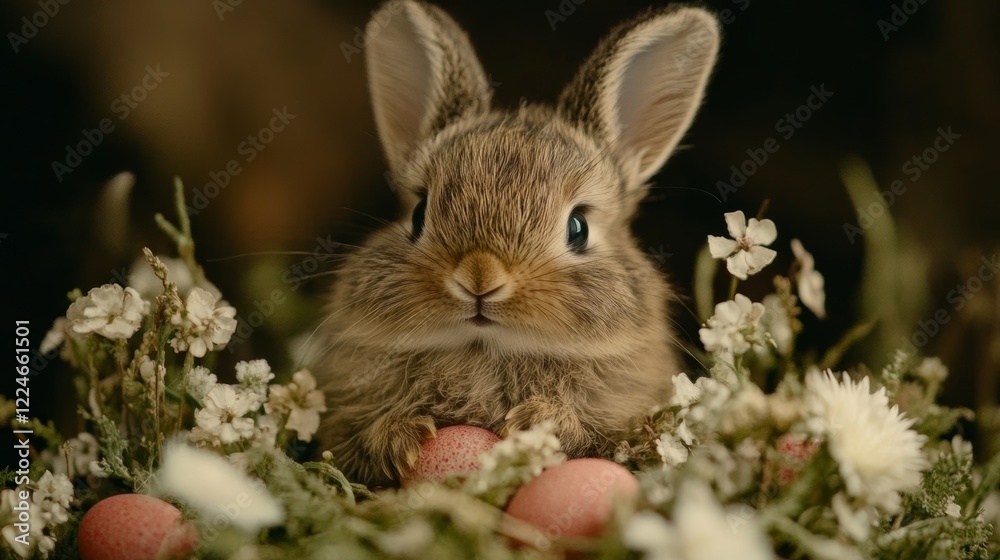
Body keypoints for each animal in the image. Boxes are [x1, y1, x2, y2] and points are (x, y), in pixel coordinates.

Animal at [315, 0, 720, 486]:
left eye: (578, 228)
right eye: (418, 213)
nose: (479, 277)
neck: (484, 351)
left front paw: (537, 424)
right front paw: (402, 439)